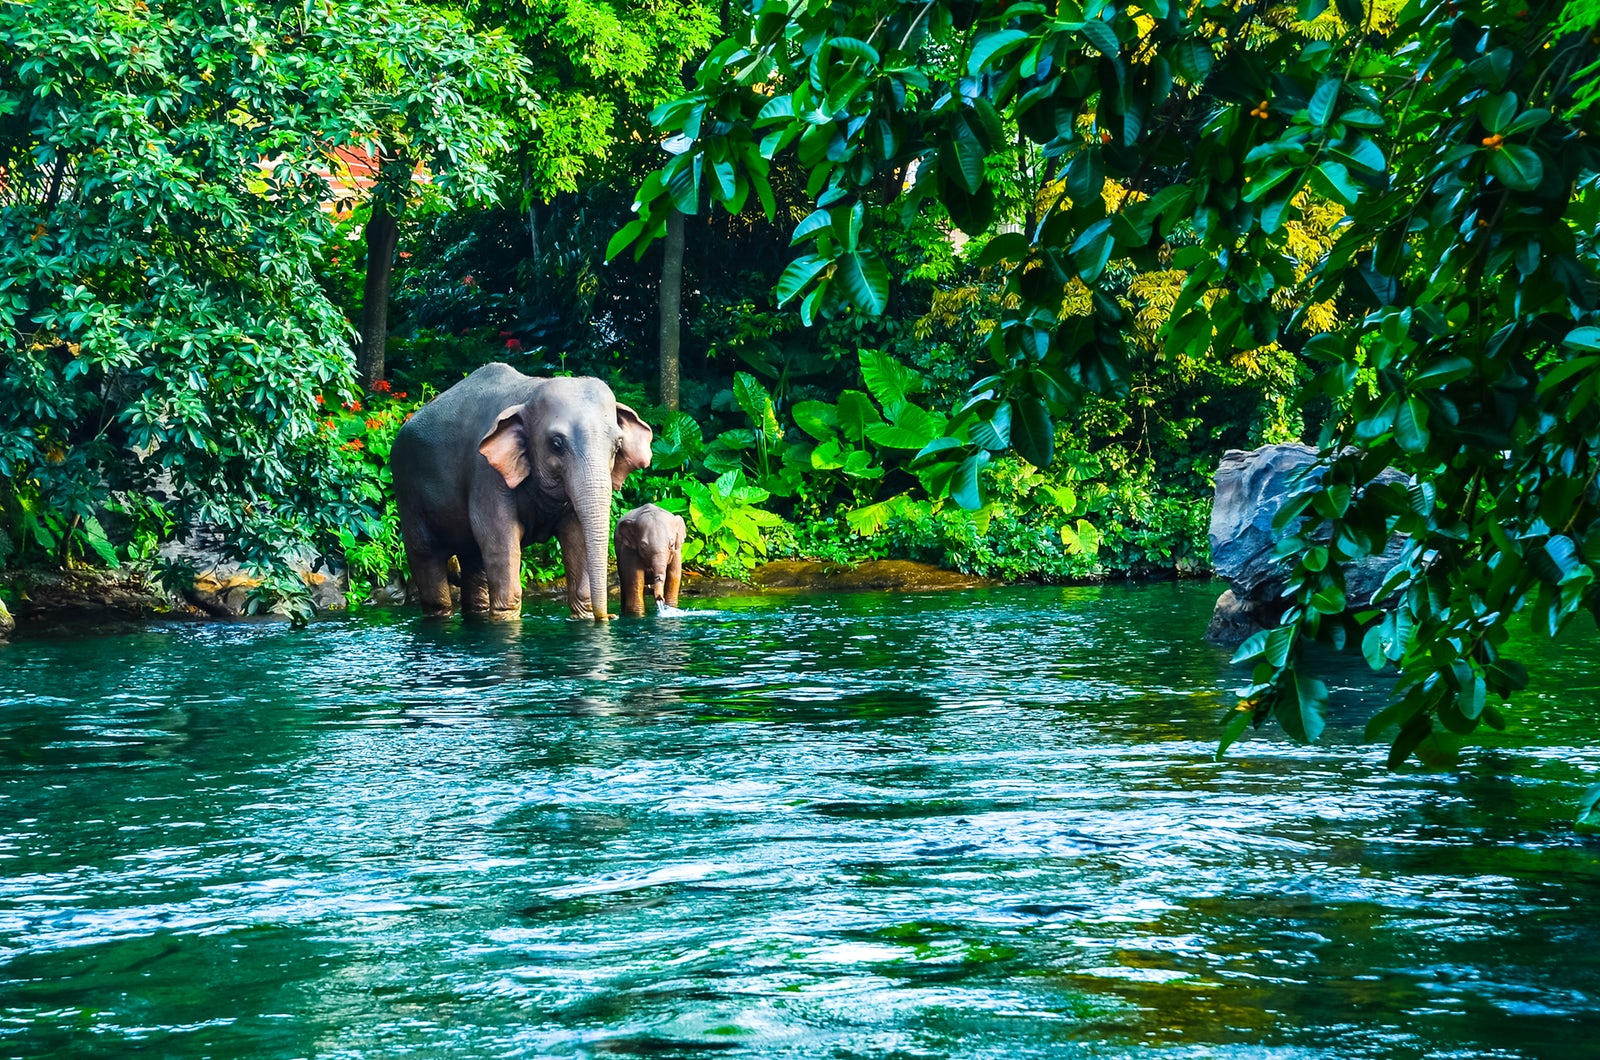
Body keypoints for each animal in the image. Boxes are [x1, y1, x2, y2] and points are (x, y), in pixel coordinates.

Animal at [390, 368, 652, 624]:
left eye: (617, 446)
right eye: (556, 444)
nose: (610, 616)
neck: (530, 392)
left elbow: (576, 534)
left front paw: (584, 616)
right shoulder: (486, 473)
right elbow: (497, 535)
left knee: (474, 559)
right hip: (408, 493)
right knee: (426, 557)